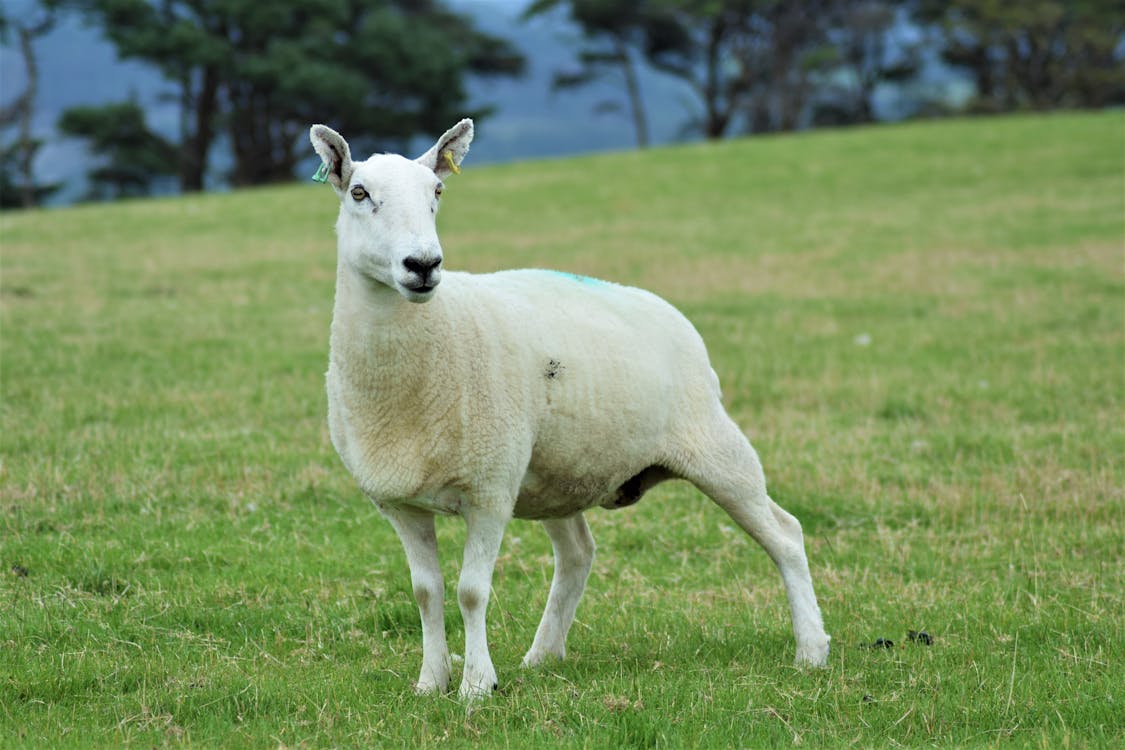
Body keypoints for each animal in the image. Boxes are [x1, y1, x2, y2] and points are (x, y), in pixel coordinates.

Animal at [308, 120, 828, 701]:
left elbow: (470, 590)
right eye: (359, 193)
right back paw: (543, 655)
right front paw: (430, 681)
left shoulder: (491, 488)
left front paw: (475, 686)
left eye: (437, 193)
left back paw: (811, 650)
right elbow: (427, 592)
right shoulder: (400, 503)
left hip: (714, 444)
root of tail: (667, 311)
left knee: (785, 535)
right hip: (554, 475)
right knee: (578, 552)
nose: (423, 265)